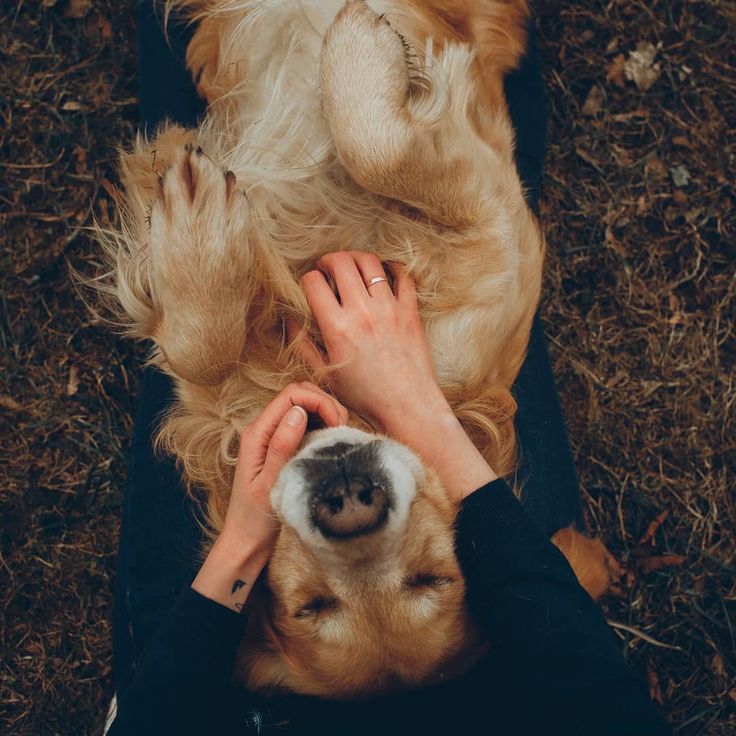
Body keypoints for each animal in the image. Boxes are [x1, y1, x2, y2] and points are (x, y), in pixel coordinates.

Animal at [95, 0, 620, 700]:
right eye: (310, 607)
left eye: (434, 576)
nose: (349, 503)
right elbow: (198, 350)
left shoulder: (501, 231)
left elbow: (380, 153)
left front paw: (355, 50)